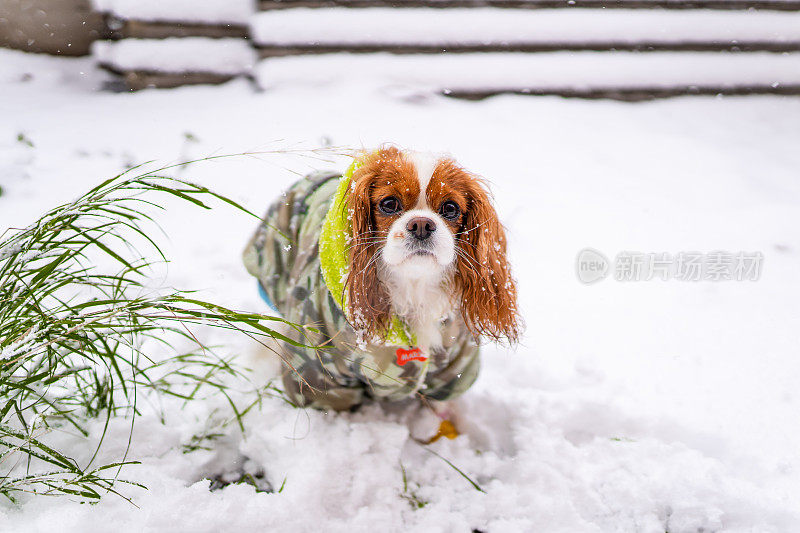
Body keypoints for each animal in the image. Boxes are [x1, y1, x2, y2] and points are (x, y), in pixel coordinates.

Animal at [242, 147, 520, 416]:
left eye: (450, 208)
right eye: (389, 203)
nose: (421, 224)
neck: (413, 287)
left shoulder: (452, 374)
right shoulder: (320, 376)